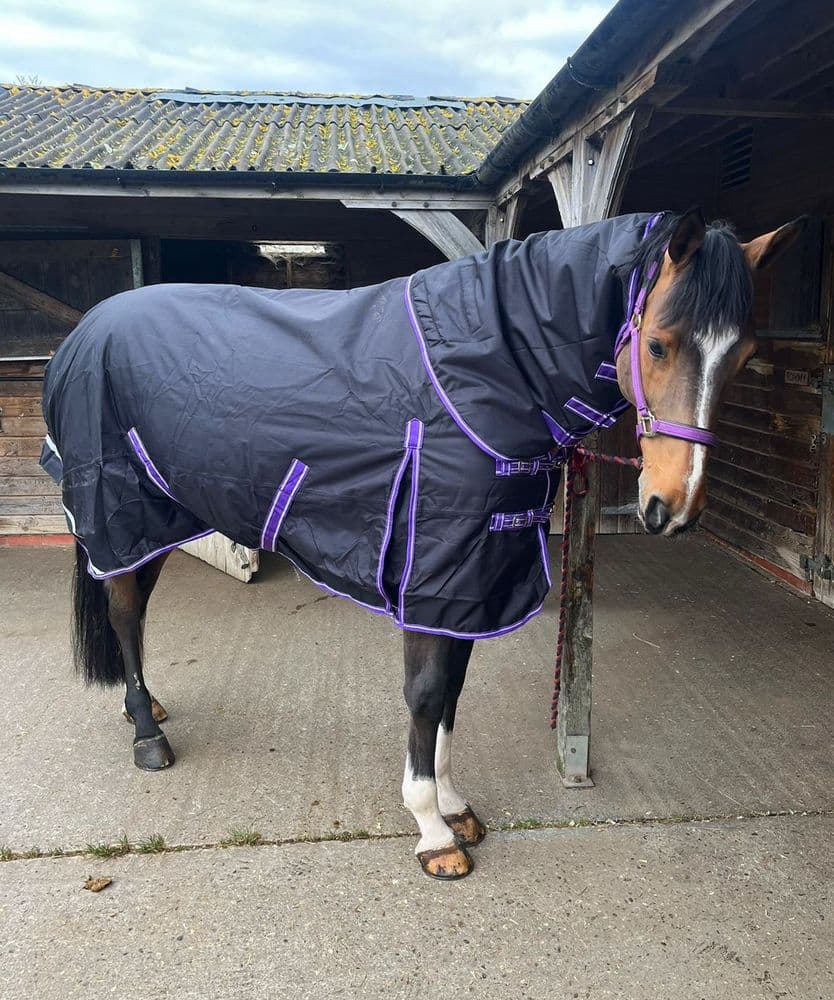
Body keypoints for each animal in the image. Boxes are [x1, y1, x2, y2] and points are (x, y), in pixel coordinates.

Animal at [40, 208, 801, 879]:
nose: (673, 508)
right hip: (120, 511)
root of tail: (85, 334)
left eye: (742, 356)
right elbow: (428, 693)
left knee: (134, 608)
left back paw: (144, 705)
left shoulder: (474, 581)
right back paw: (149, 735)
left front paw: (455, 806)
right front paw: (432, 832)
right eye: (660, 343)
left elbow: (453, 695)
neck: (485, 372)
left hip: (158, 520)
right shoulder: (432, 572)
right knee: (123, 610)